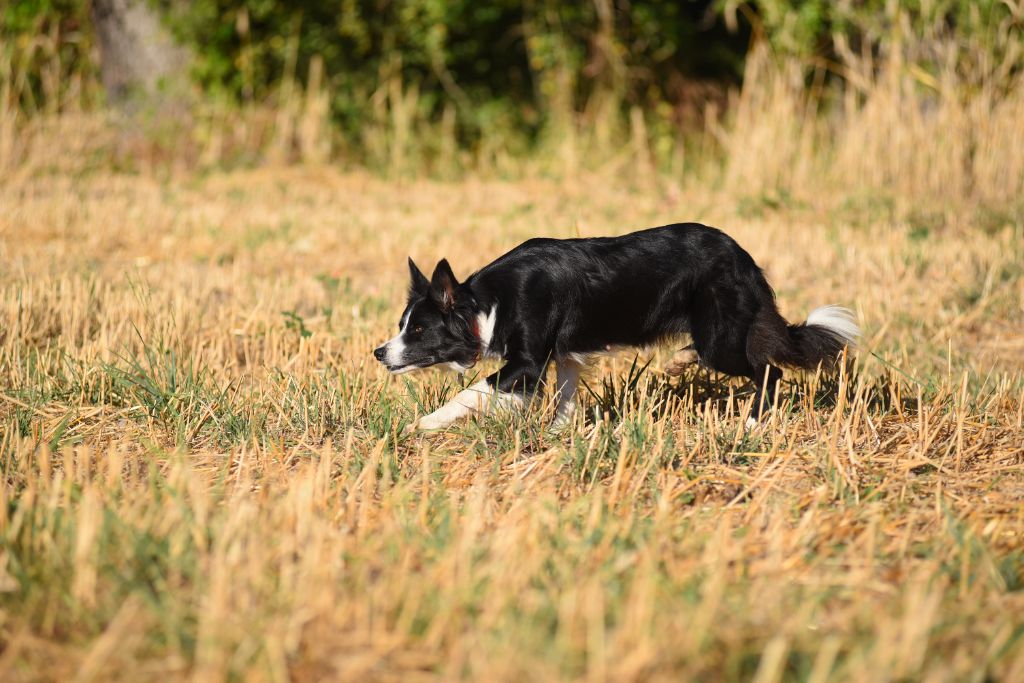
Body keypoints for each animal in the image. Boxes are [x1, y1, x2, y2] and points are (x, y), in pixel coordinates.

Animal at [374, 224, 856, 432]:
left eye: (418, 331)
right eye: (403, 325)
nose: (379, 352)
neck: (483, 305)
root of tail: (744, 256)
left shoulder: (526, 364)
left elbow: (470, 392)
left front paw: (423, 424)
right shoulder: (563, 356)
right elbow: (566, 400)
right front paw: (561, 436)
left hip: (719, 338)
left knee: (768, 370)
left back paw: (752, 425)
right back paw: (682, 365)